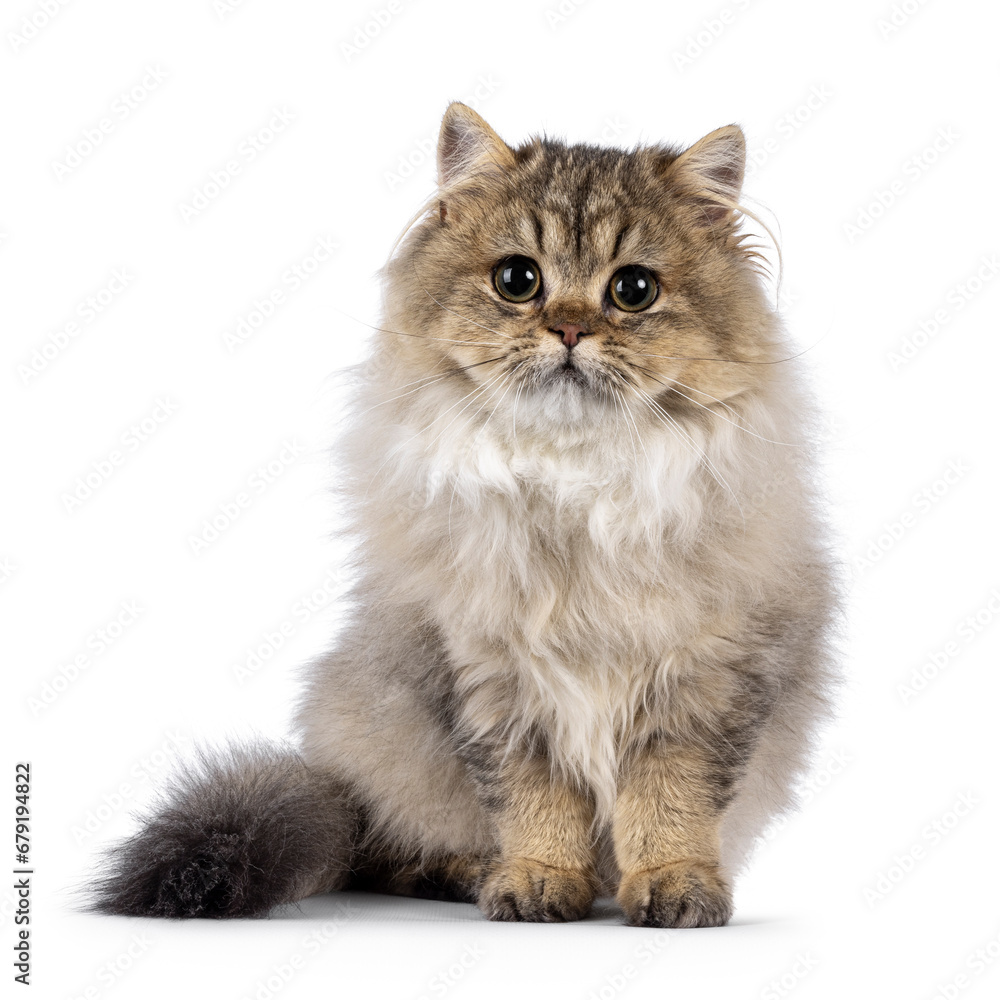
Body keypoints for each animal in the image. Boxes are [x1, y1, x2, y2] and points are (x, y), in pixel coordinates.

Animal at [88, 103, 836, 928]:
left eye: (633, 289)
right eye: (518, 280)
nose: (569, 329)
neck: (573, 485)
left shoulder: (707, 677)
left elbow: (670, 805)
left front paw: (675, 885)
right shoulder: (491, 675)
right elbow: (536, 803)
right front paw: (539, 879)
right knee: (383, 853)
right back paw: (467, 870)